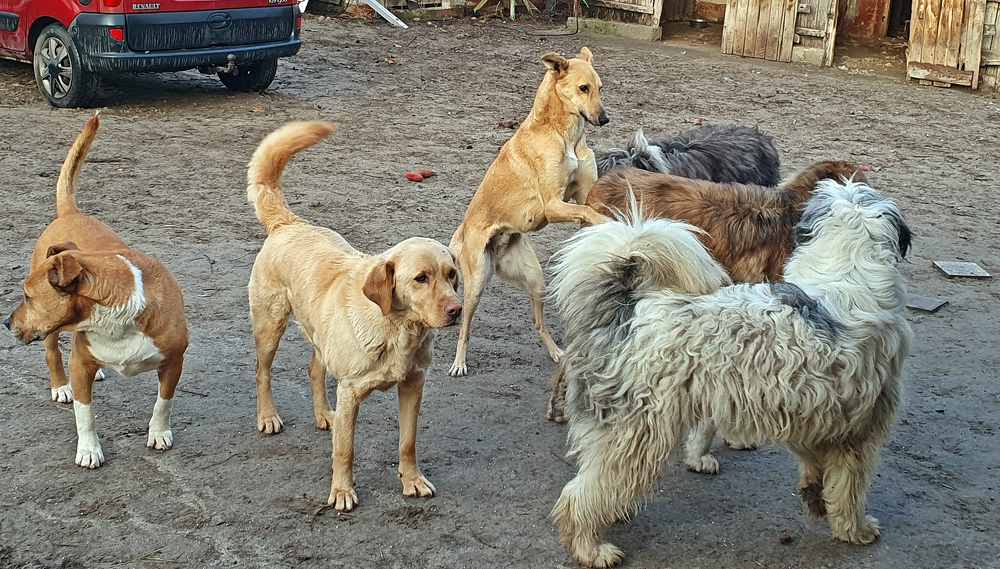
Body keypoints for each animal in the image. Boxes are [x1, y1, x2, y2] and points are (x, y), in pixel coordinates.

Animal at [4, 114, 189, 469]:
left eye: (27, 297)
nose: (6, 323)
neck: (116, 315)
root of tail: (69, 212)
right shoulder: (80, 365)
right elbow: (84, 414)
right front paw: (89, 450)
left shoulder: (174, 360)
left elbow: (164, 401)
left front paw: (159, 433)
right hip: (51, 335)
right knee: (53, 353)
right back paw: (61, 386)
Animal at [245, 122, 462, 512]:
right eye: (421, 278)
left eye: (451, 275)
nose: (457, 310)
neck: (398, 330)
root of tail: (289, 223)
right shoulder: (350, 393)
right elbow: (344, 451)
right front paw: (342, 491)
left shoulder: (413, 386)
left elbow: (408, 442)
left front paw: (412, 480)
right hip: (270, 327)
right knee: (262, 371)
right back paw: (267, 417)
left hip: (320, 335)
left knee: (314, 370)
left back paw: (323, 415)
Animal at [447, 47, 611, 377]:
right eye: (583, 88)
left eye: (601, 88)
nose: (604, 118)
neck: (565, 135)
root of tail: (462, 231)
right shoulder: (553, 205)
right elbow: (586, 212)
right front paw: (605, 221)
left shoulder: (583, 191)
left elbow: (588, 206)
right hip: (476, 286)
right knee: (465, 328)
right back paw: (459, 363)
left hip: (535, 281)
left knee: (538, 322)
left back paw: (557, 352)